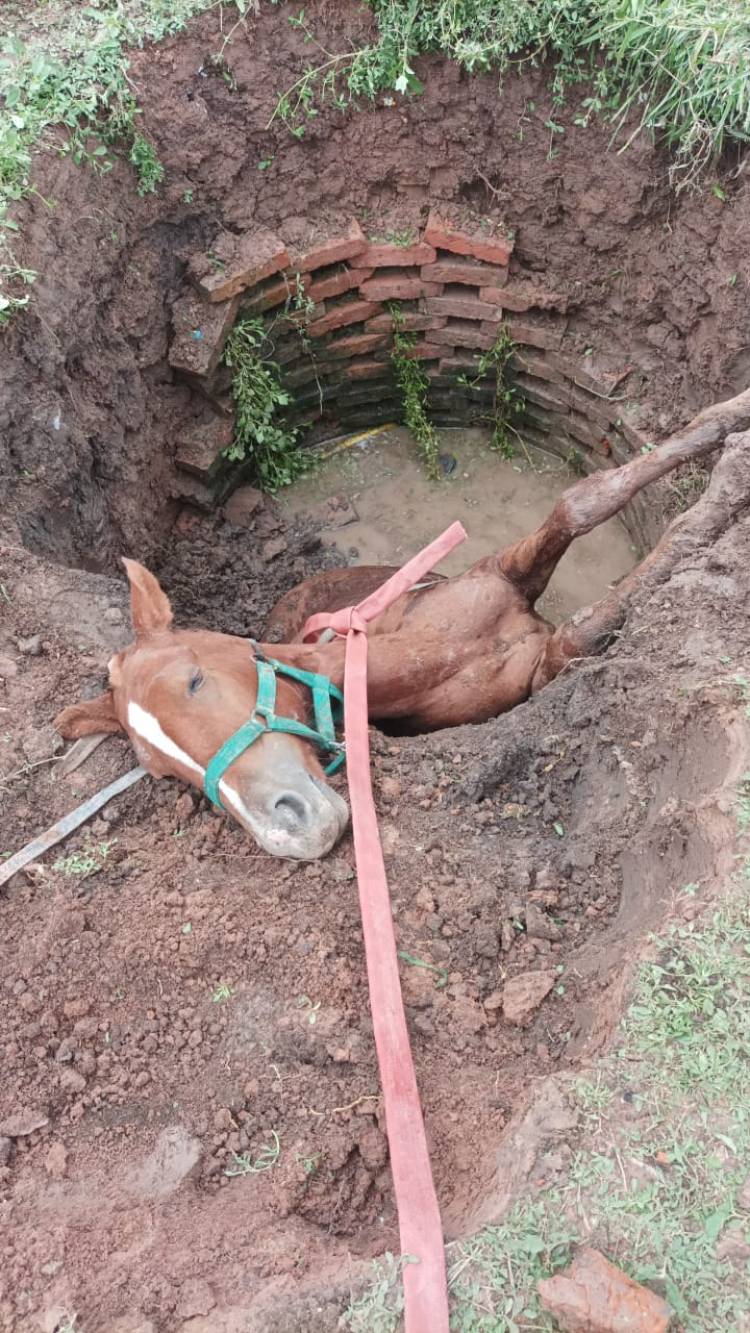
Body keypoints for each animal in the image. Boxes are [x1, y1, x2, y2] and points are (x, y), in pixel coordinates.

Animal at [54, 392, 750, 860]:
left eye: (195, 681)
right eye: (169, 776)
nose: (292, 833)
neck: (436, 654)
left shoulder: (507, 574)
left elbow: (585, 500)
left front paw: (730, 436)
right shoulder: (550, 662)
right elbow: (596, 616)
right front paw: (717, 502)